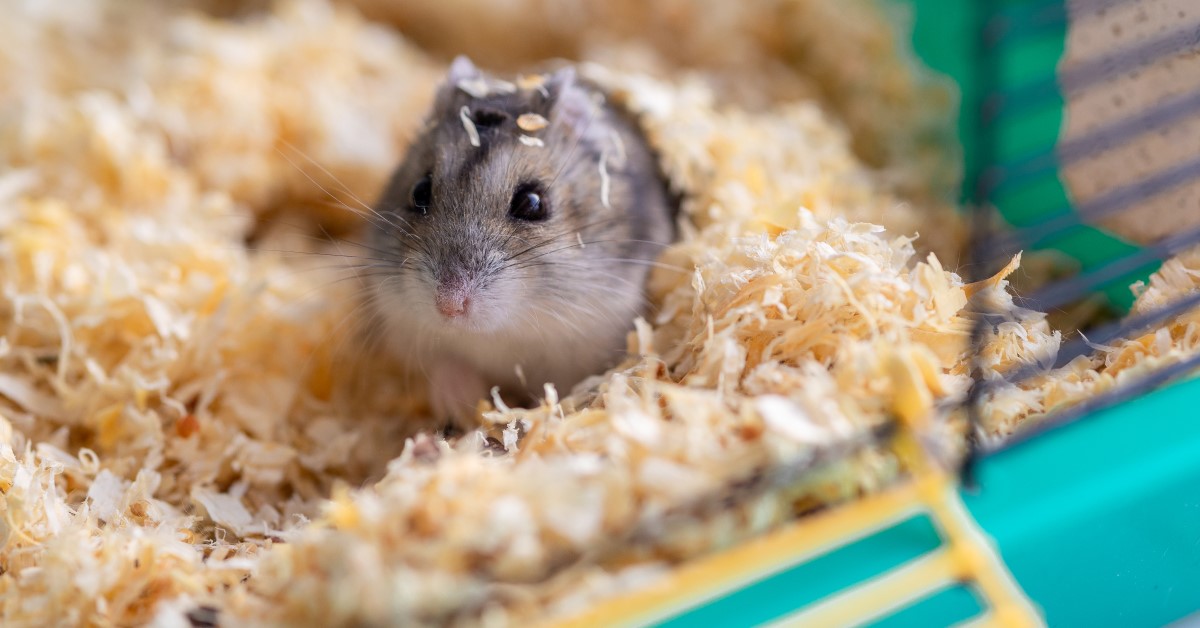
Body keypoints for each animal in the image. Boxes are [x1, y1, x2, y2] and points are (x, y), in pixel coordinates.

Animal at [364, 56, 676, 430]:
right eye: (419, 191)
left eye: (532, 202)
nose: (449, 306)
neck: (501, 331)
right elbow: (445, 364)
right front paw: (462, 405)